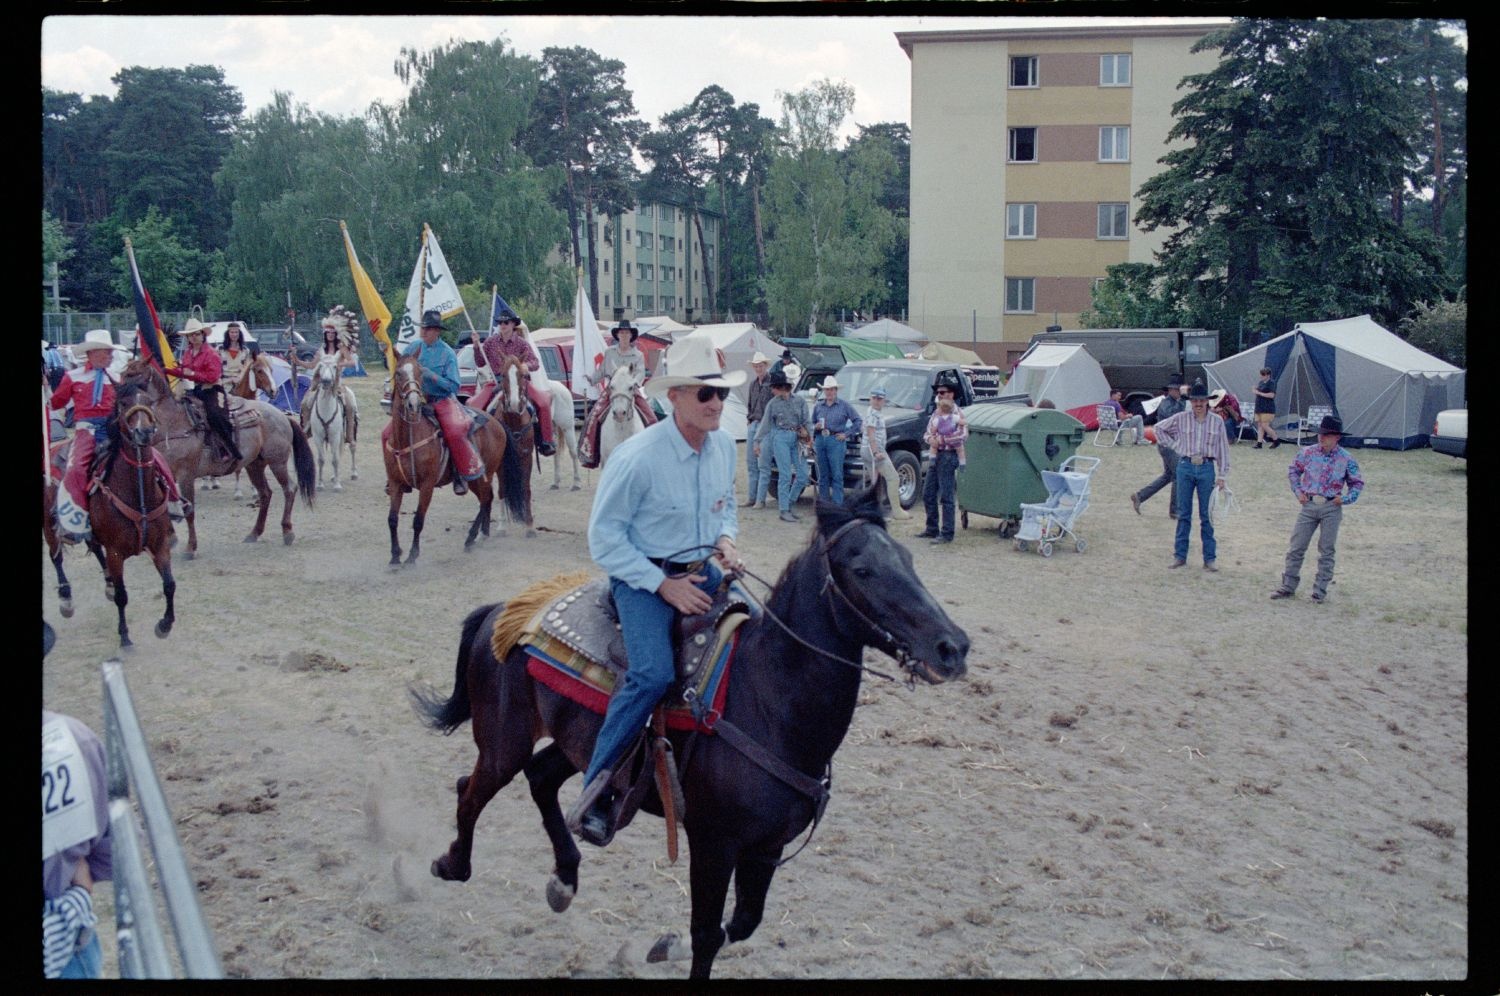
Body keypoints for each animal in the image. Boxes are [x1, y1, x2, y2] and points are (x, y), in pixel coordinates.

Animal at [88, 379, 178, 645]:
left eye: (148, 401)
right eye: (124, 403)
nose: (144, 432)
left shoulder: (160, 545)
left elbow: (169, 585)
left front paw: (164, 625)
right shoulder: (116, 553)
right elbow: (122, 596)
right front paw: (125, 637)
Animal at [120, 358, 316, 561]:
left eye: (134, 376)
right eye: (124, 374)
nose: (119, 396)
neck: (174, 424)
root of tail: (282, 416)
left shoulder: (186, 476)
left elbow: (189, 511)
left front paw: (190, 548)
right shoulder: (164, 475)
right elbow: (165, 507)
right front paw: (171, 539)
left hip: (277, 463)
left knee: (289, 489)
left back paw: (287, 531)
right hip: (254, 465)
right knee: (265, 494)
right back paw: (254, 533)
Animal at [381, 354, 528, 564]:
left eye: (419, 373)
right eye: (398, 373)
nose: (413, 404)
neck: (408, 437)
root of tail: (498, 423)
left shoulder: (427, 485)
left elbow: (418, 520)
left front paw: (412, 556)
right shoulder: (395, 482)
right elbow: (392, 519)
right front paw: (394, 556)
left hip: (484, 473)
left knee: (486, 498)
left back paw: (471, 538)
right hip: (475, 479)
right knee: (487, 499)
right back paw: (481, 535)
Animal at [411, 486, 972, 978]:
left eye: (909, 560)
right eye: (862, 569)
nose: (953, 647)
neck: (768, 700)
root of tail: (504, 612)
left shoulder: (767, 848)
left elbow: (741, 925)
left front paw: (665, 945)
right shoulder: (713, 843)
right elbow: (707, 934)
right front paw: (675, 943)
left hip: (579, 746)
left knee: (542, 779)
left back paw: (565, 878)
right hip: (502, 741)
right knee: (471, 790)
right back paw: (450, 864)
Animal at [483, 352, 537, 534]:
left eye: (522, 375)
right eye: (503, 375)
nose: (513, 404)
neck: (514, 422)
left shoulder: (527, 456)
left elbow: (526, 489)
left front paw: (530, 525)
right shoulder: (502, 461)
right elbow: (502, 490)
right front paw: (501, 525)